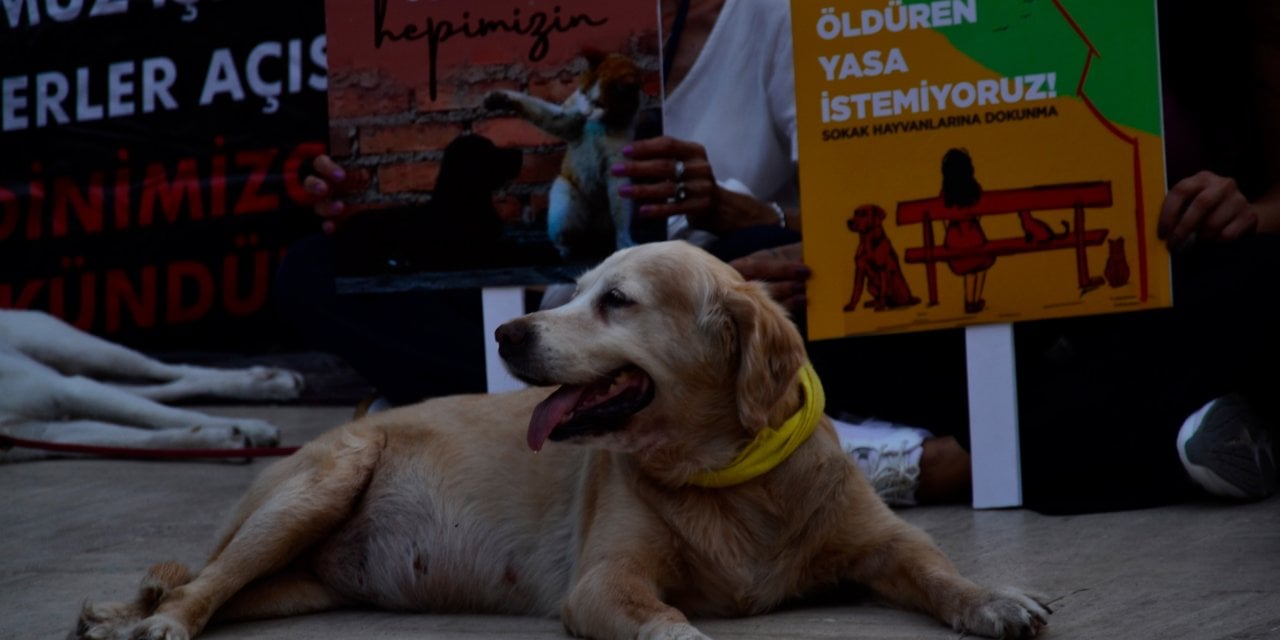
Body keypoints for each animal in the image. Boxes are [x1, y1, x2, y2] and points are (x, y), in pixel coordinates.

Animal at [72, 240, 1049, 640]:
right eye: (571, 288)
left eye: (616, 300)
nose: (508, 333)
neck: (732, 476)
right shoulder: (604, 581)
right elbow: (665, 621)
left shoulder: (885, 543)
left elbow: (941, 571)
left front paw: (996, 599)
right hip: (315, 487)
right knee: (199, 585)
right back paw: (146, 622)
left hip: (300, 583)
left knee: (213, 588)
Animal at [483, 49, 645, 259]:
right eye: (583, 93)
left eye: (600, 103)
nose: (585, 113)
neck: (599, 125)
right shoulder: (566, 120)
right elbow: (541, 111)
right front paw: (498, 98)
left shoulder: (618, 163)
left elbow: (621, 209)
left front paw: (625, 241)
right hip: (564, 199)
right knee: (566, 232)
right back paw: (566, 248)